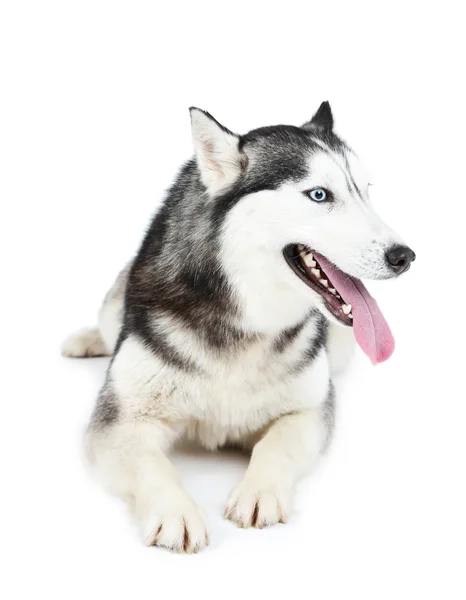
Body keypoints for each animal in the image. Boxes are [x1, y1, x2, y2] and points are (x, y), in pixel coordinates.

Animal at [62, 102, 416, 552]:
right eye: (319, 195)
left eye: (367, 191)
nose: (405, 256)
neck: (246, 321)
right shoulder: (121, 420)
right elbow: (151, 464)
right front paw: (175, 511)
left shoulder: (311, 409)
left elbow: (276, 444)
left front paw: (259, 491)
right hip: (116, 305)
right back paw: (87, 339)